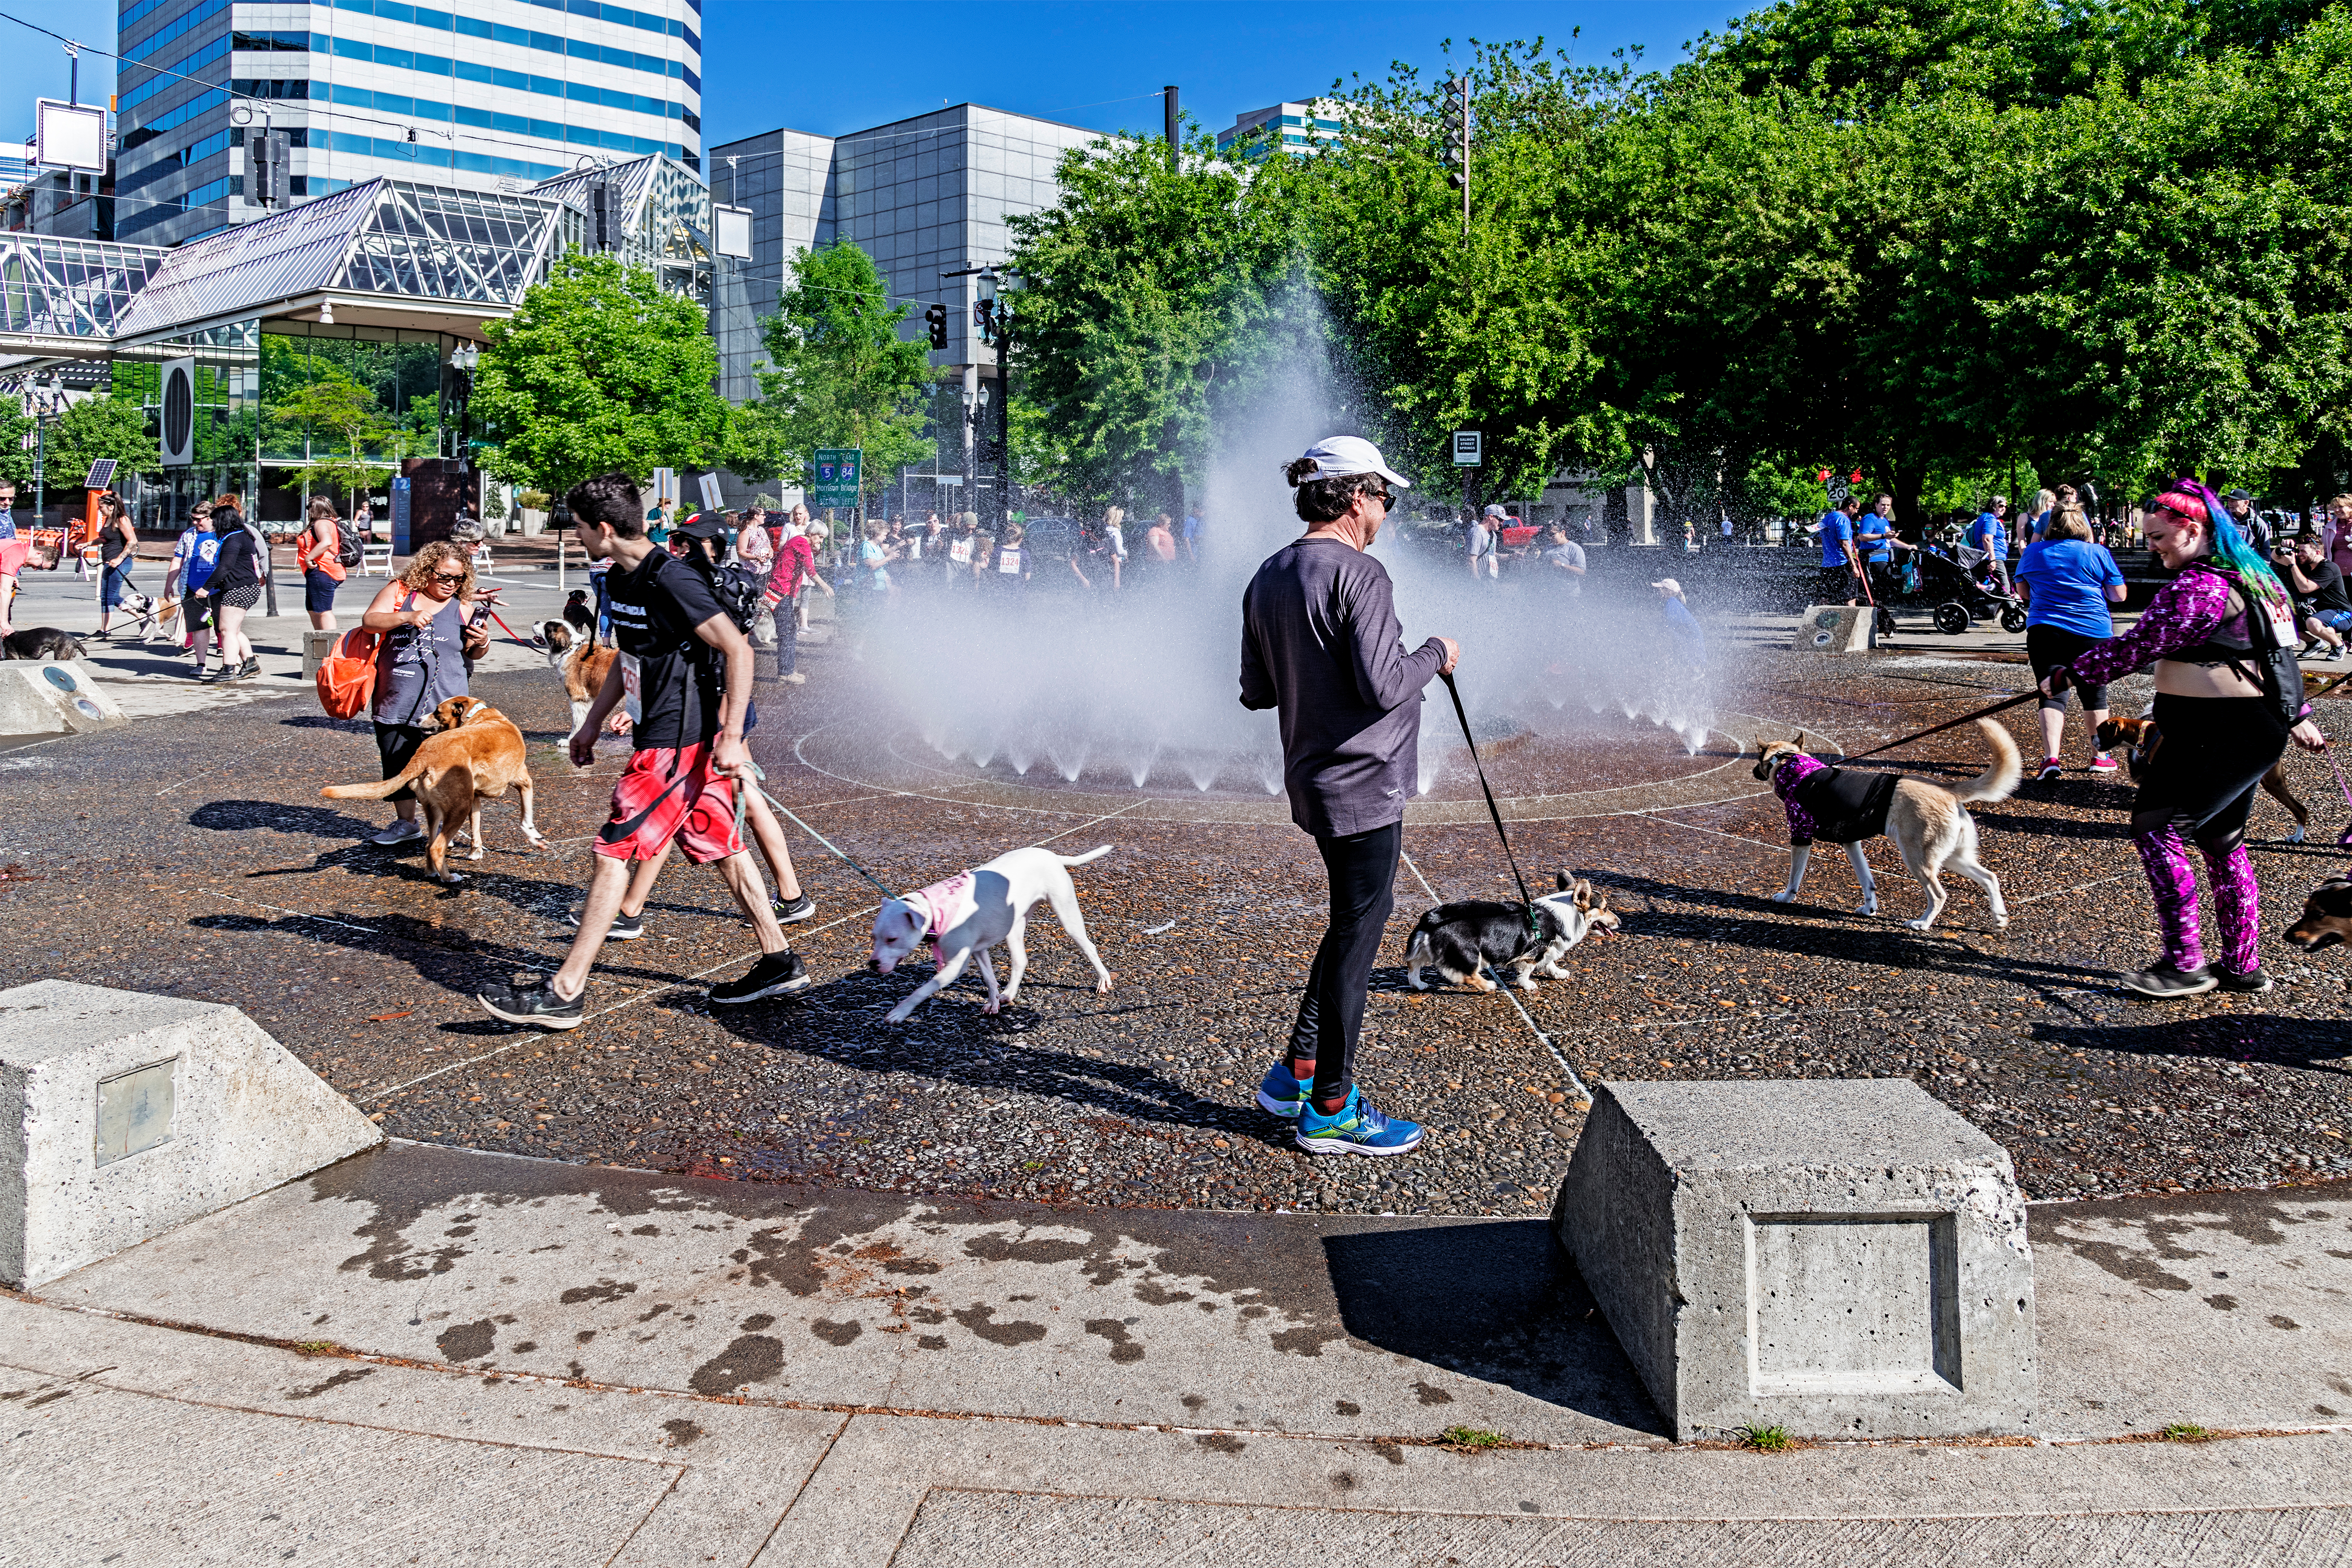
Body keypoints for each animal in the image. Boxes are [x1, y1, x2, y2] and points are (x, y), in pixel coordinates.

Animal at [325, 700, 543, 884]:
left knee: (429, 845)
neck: (477, 714)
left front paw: (475, 851)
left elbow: (476, 827)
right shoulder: (525, 783)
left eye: (437, 712)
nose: (417, 720)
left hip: (436, 810)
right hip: (458, 809)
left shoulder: (474, 798)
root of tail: (424, 754)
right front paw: (536, 839)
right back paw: (448, 878)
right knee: (437, 847)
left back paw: (431, 872)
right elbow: (526, 819)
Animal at [870, 851, 1115, 1025]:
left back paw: (1103, 980)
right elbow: (989, 978)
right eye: (873, 937)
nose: (872, 964)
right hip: (1013, 926)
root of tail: (1052, 855)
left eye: (892, 939)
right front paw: (993, 1002)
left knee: (1089, 947)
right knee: (1020, 960)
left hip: (1067, 916)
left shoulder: (955, 966)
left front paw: (900, 1012)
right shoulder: (979, 951)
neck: (933, 911)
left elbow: (922, 990)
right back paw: (1008, 994)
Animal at [1750, 724, 2023, 931]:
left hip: (1918, 858)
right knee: (1990, 878)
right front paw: (1869, 908)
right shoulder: (1851, 842)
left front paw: (1786, 898)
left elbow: (1794, 877)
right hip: (1953, 857)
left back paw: (1922, 923)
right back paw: (1999, 918)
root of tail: (1947, 789)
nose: (1753, 771)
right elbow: (1867, 881)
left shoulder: (1801, 836)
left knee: (1939, 895)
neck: (1792, 766)